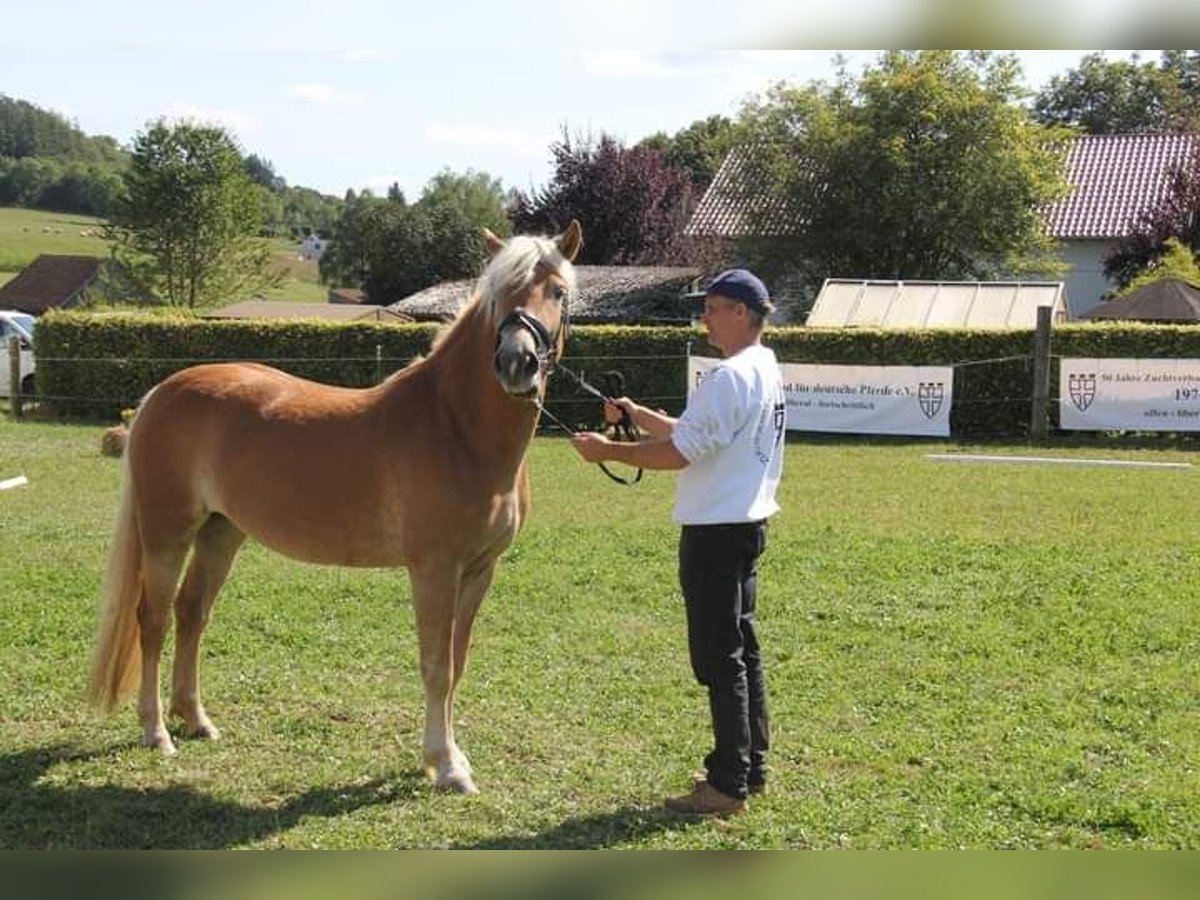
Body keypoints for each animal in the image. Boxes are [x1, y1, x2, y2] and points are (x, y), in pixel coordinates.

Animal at [87, 220, 580, 796]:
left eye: (558, 292)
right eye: (499, 294)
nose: (516, 363)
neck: (455, 427)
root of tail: (161, 392)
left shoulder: (480, 570)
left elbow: (457, 664)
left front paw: (451, 757)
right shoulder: (434, 570)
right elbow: (435, 665)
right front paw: (444, 764)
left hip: (221, 532)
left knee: (192, 614)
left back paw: (197, 720)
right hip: (168, 533)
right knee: (154, 619)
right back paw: (156, 732)